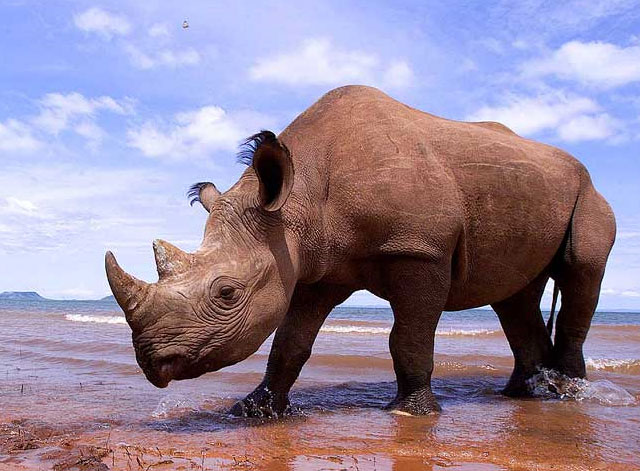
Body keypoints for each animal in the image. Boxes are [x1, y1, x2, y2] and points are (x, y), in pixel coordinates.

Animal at [105, 85, 615, 416]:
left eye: (227, 293)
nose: (151, 362)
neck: (299, 199)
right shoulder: (313, 266)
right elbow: (289, 343)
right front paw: (254, 410)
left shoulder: (420, 250)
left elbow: (408, 338)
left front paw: (412, 412)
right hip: (527, 192)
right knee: (514, 295)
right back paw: (526, 396)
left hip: (588, 193)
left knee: (581, 272)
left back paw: (569, 394)